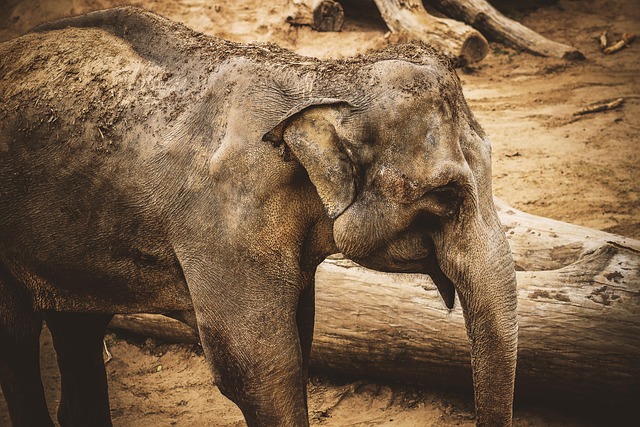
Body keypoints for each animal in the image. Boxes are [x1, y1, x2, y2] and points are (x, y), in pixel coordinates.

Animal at [0, 6, 518, 427]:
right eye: (447, 193)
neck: (322, 80)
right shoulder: (223, 227)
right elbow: (261, 368)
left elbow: (299, 339)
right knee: (18, 338)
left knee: (79, 329)